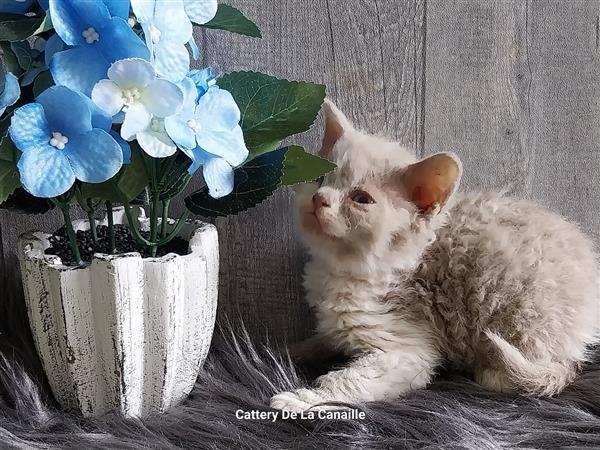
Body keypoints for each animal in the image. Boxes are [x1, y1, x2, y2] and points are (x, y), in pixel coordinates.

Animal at [270, 100, 600, 414]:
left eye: (360, 198)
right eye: (320, 180)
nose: (319, 198)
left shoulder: (404, 349)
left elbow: (348, 380)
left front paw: (300, 400)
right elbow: (319, 340)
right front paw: (285, 351)